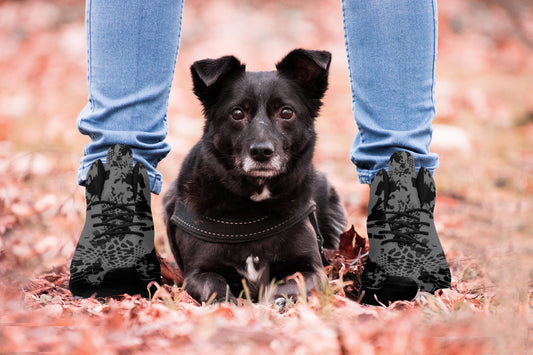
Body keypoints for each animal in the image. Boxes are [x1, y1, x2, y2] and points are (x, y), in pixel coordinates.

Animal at [162, 48, 344, 306]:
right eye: (237, 113)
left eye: (286, 112)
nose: (261, 152)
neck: (252, 206)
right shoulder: (197, 272)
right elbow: (214, 283)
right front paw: (226, 303)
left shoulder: (313, 269)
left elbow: (289, 284)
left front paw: (276, 302)